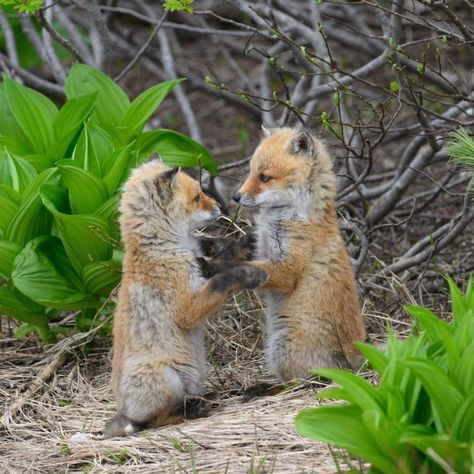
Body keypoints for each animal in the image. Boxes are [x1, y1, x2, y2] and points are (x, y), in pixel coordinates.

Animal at [104, 162, 266, 436]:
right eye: (198, 197)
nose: (221, 206)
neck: (164, 248)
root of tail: (126, 413)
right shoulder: (187, 308)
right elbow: (223, 280)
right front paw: (249, 274)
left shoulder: (200, 265)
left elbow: (224, 257)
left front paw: (247, 242)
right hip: (166, 378)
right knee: (157, 420)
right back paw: (194, 410)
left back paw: (202, 399)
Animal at [233, 126, 366, 382]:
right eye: (251, 172)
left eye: (265, 177)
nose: (236, 196)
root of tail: (357, 362)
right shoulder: (263, 248)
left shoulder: (287, 269)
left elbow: (252, 270)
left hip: (282, 349)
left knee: (299, 380)